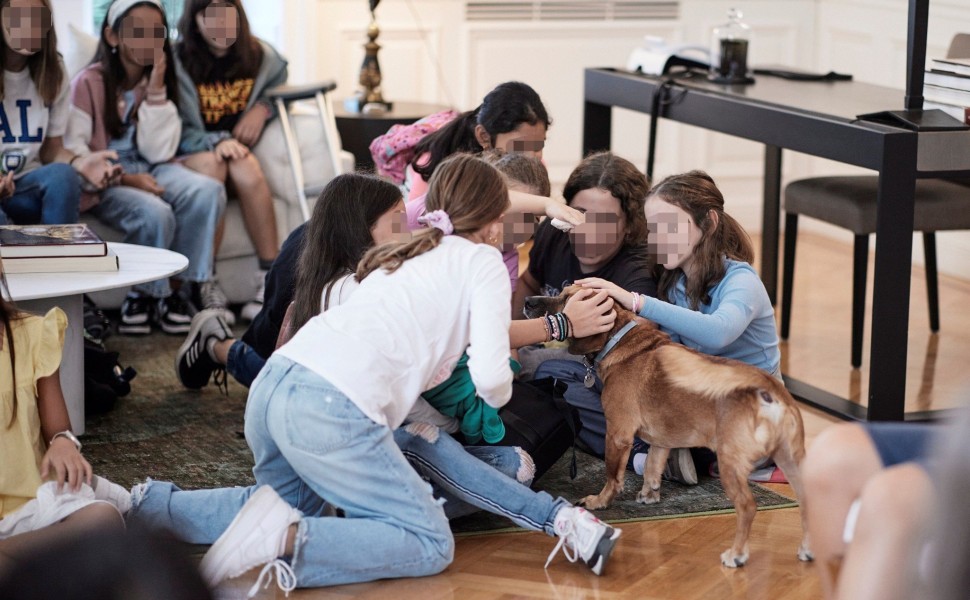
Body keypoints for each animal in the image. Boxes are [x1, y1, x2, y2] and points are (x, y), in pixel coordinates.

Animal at [520, 286, 808, 568]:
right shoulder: (661, 442)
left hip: (730, 464)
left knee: (747, 507)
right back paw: (805, 549)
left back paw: (736, 554)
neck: (620, 339)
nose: (527, 301)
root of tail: (769, 388)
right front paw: (650, 495)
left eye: (568, 299)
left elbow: (612, 475)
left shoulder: (618, 434)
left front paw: (600, 501)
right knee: (806, 504)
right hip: (790, 463)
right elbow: (651, 468)